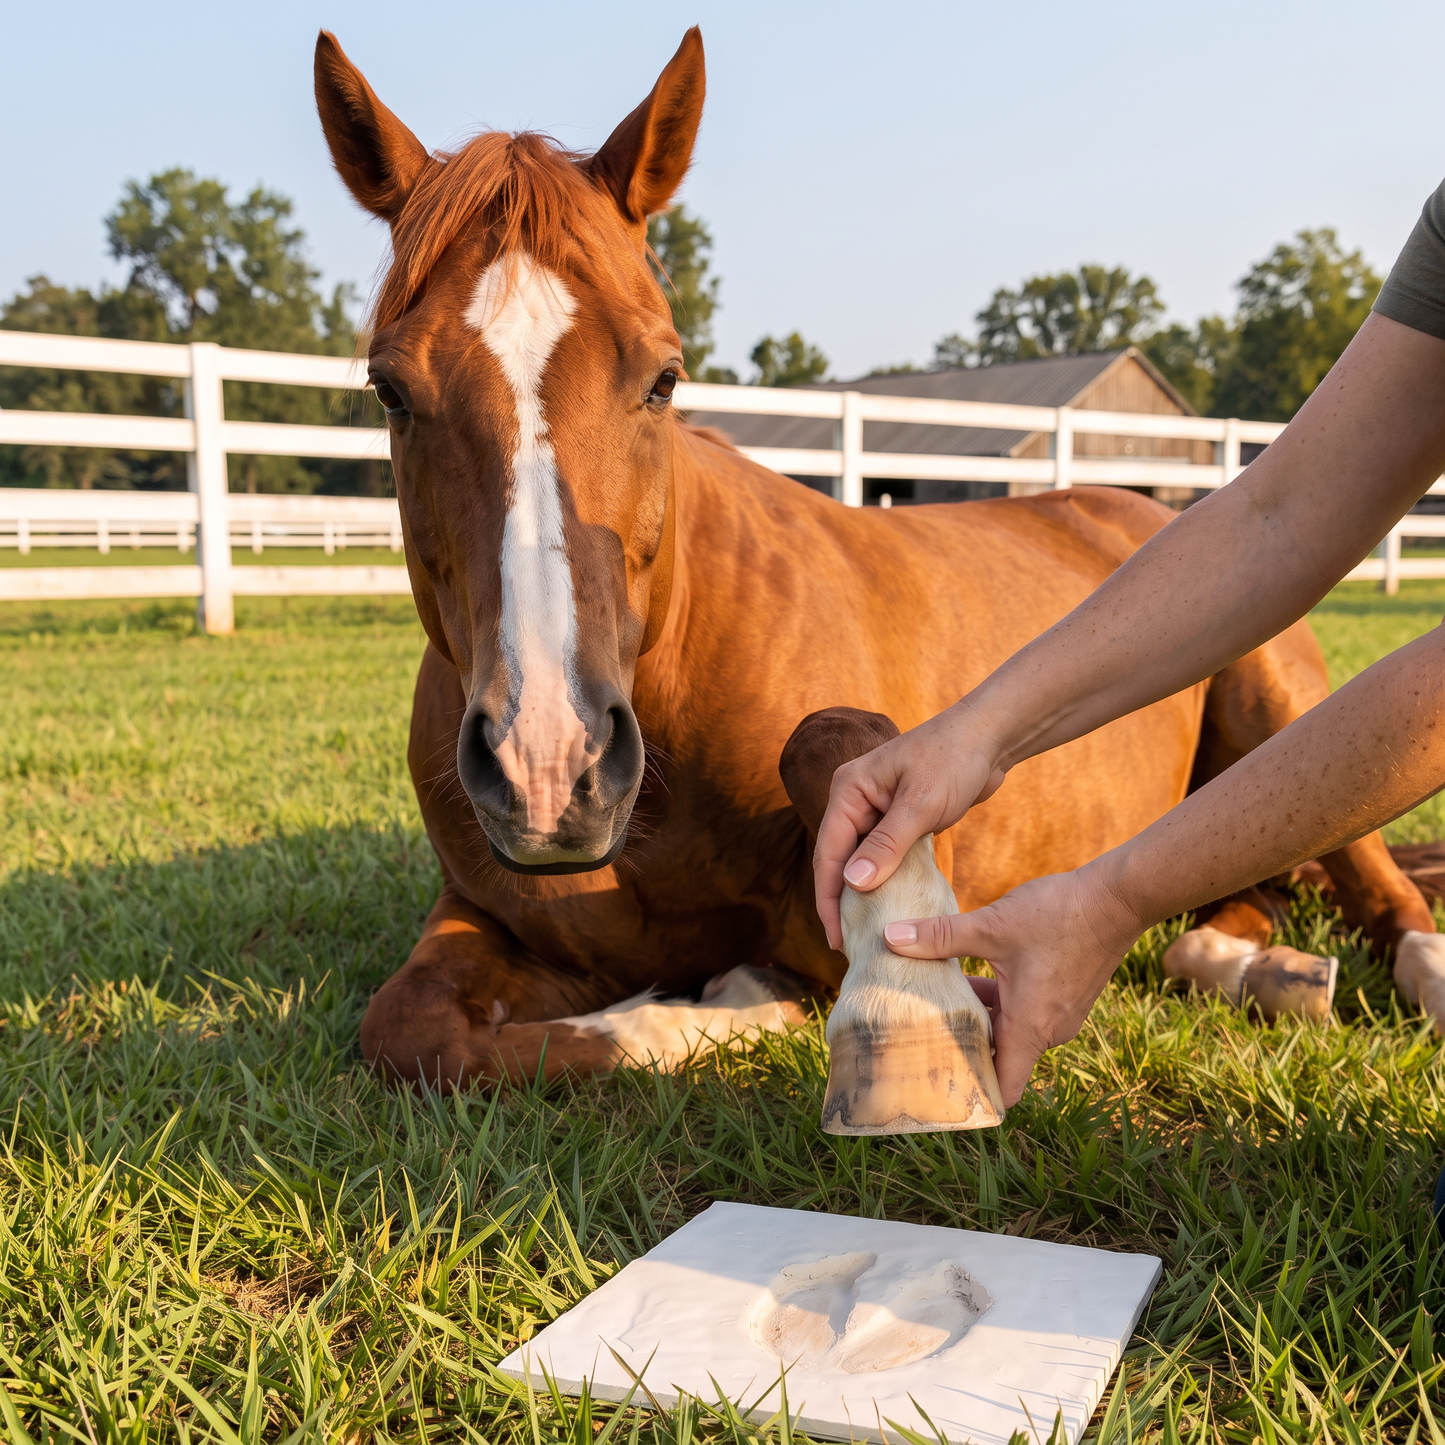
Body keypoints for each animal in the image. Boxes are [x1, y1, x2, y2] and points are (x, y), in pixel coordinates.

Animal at [312, 27, 1435, 1091]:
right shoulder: (487, 923)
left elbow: (820, 842)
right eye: (389, 389)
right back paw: (1256, 968)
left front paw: (733, 999)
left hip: (1281, 706)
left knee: (1379, 884)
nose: (551, 767)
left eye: (662, 377)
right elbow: (411, 1028)